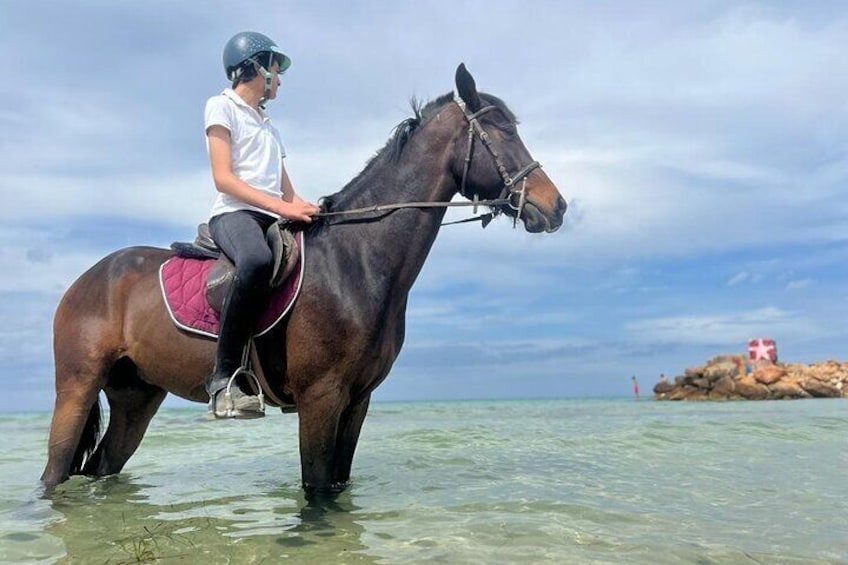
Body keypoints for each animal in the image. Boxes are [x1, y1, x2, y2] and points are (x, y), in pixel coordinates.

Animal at [41, 64, 568, 492]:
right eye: (502, 132)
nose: (556, 206)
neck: (355, 262)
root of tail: (85, 280)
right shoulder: (321, 398)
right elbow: (316, 494)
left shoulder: (357, 401)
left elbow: (336, 489)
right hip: (77, 387)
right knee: (55, 472)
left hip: (136, 397)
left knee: (102, 467)